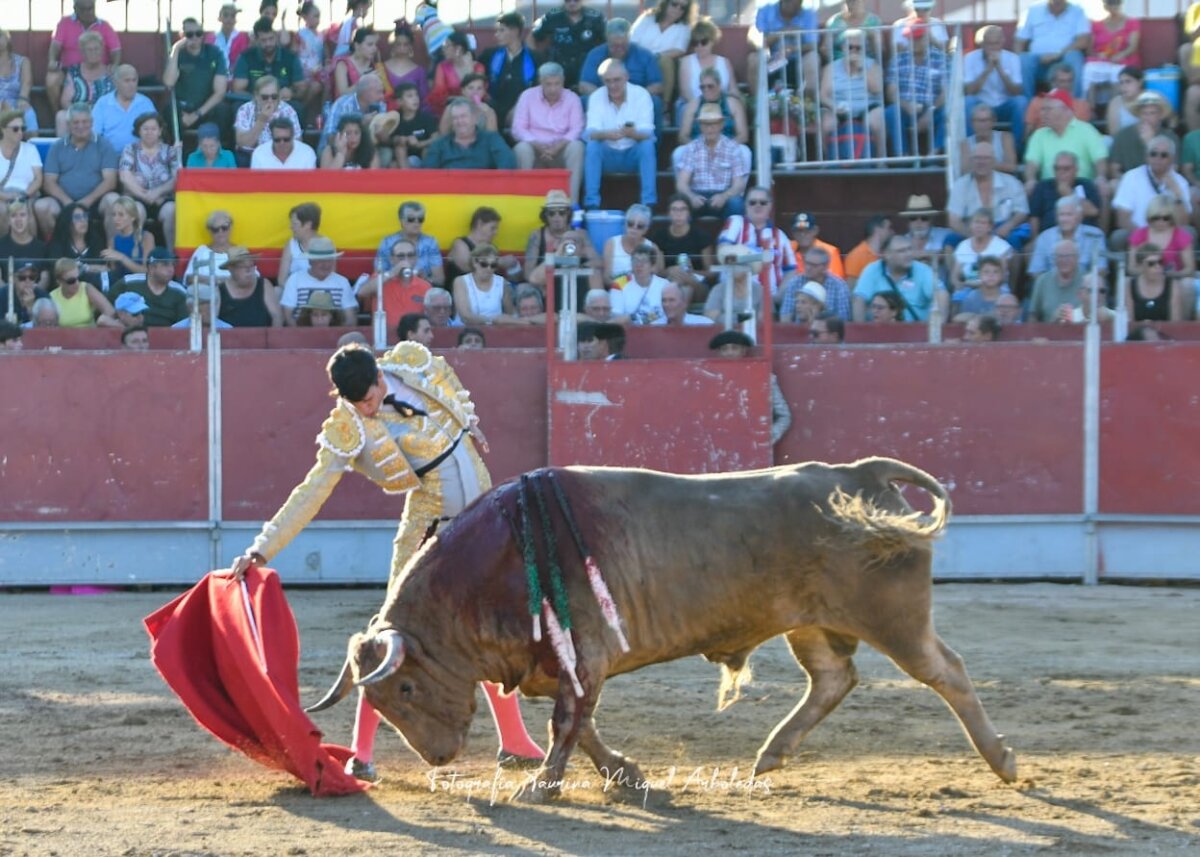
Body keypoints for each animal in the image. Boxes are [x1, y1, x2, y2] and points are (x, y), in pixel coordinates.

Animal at [308, 457, 1017, 801]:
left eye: (404, 689)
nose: (438, 757)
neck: (505, 554)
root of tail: (863, 476)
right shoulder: (565, 662)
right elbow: (584, 727)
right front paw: (627, 776)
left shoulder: (580, 655)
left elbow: (568, 724)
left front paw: (541, 788)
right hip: (810, 622)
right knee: (833, 679)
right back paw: (771, 754)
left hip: (893, 618)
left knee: (944, 672)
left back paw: (1004, 761)